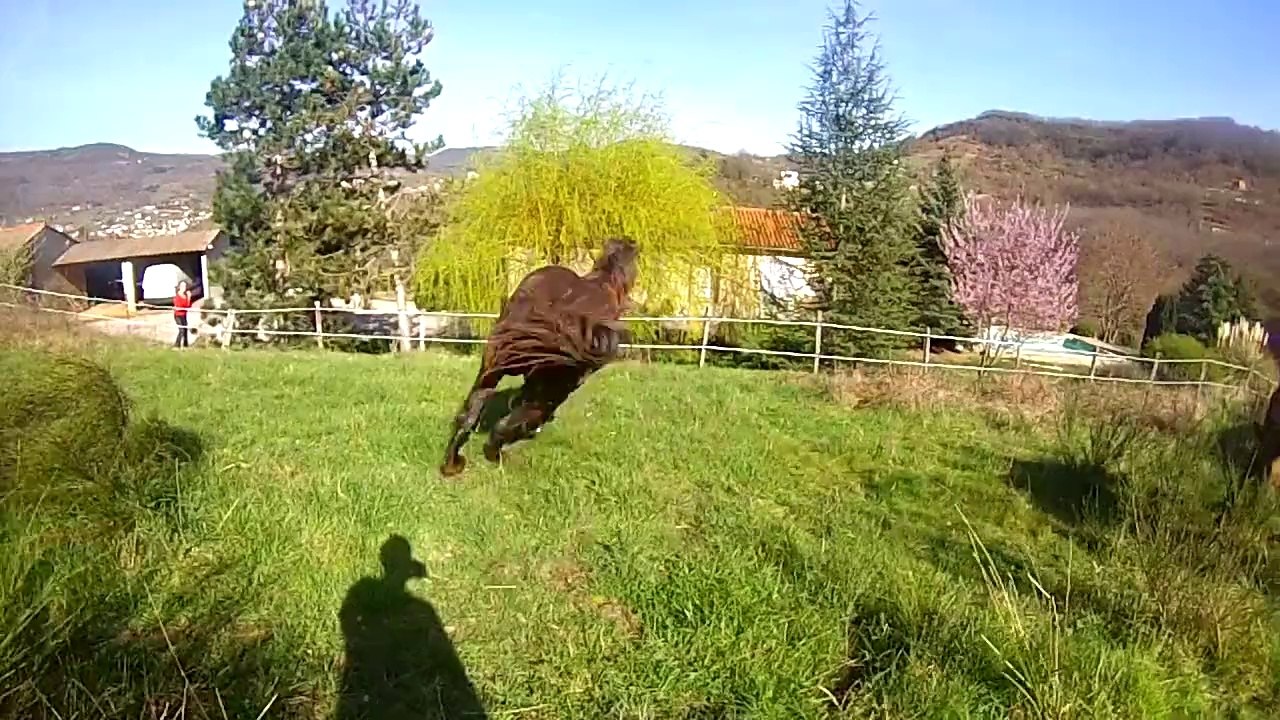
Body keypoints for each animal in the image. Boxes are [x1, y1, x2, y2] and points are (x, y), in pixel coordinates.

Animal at [439, 237, 640, 477]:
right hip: (550, 386)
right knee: (514, 421)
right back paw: (499, 455)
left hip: (490, 370)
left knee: (470, 413)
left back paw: (452, 464)